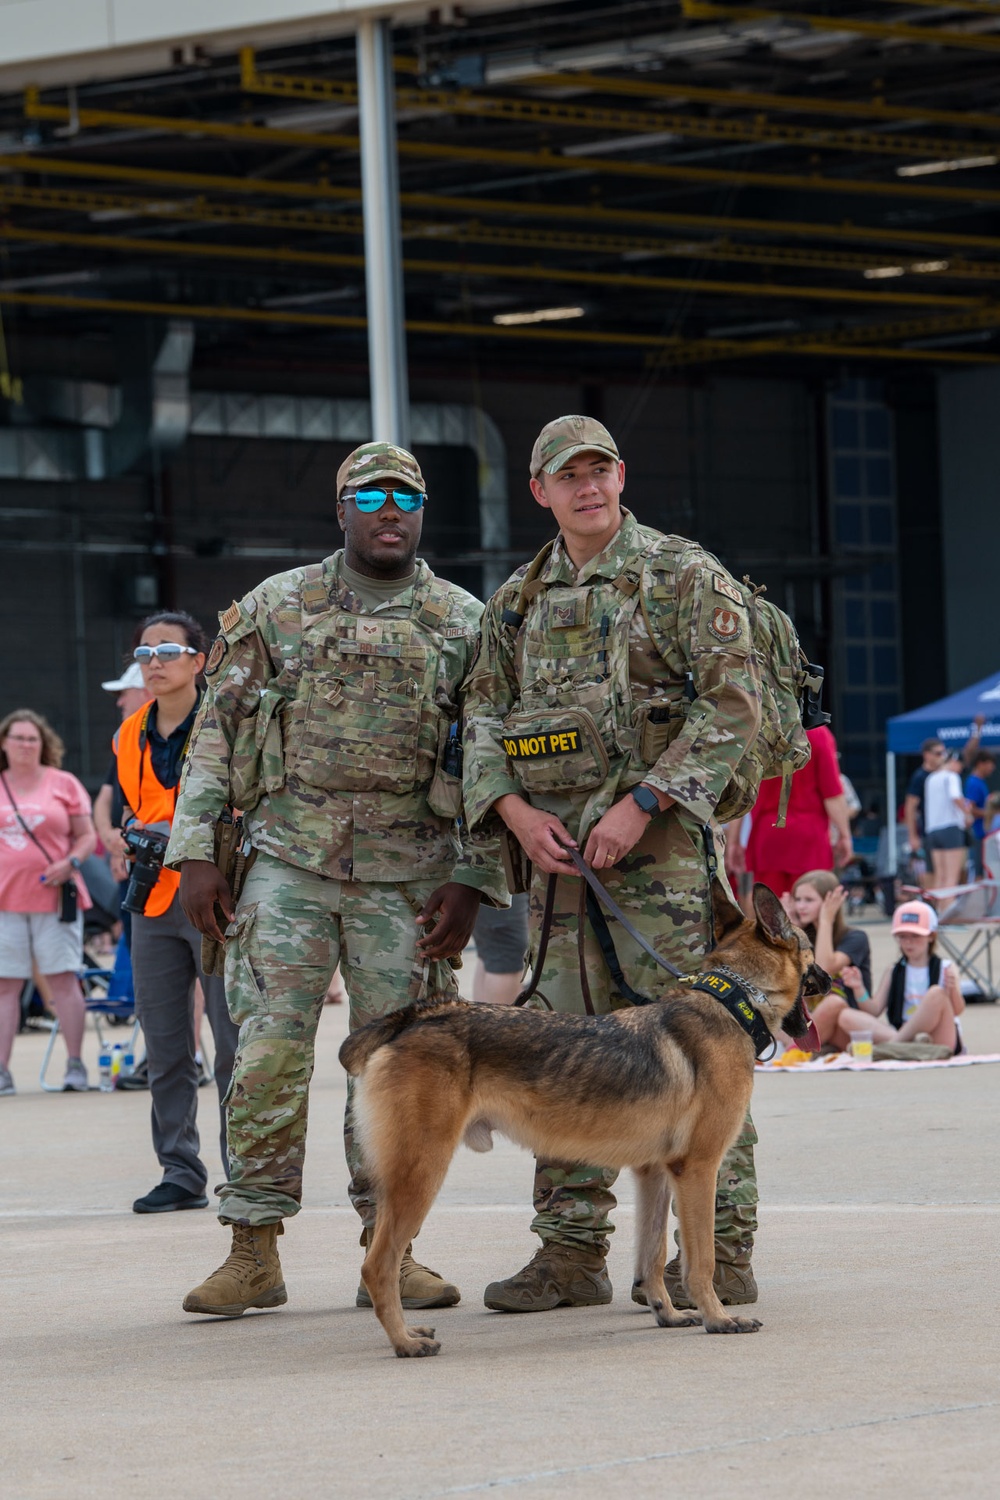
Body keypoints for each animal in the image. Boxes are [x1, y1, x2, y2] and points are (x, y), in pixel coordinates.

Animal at [340, 876, 827, 1362]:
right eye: (810, 949)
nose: (830, 979)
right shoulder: (699, 1170)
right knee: (376, 1266)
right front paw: (718, 1319)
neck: (733, 1000)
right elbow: (700, 1260)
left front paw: (667, 1313)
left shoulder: (655, 1174)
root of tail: (420, 1015)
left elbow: (650, 1257)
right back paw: (404, 1342)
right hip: (420, 1176)